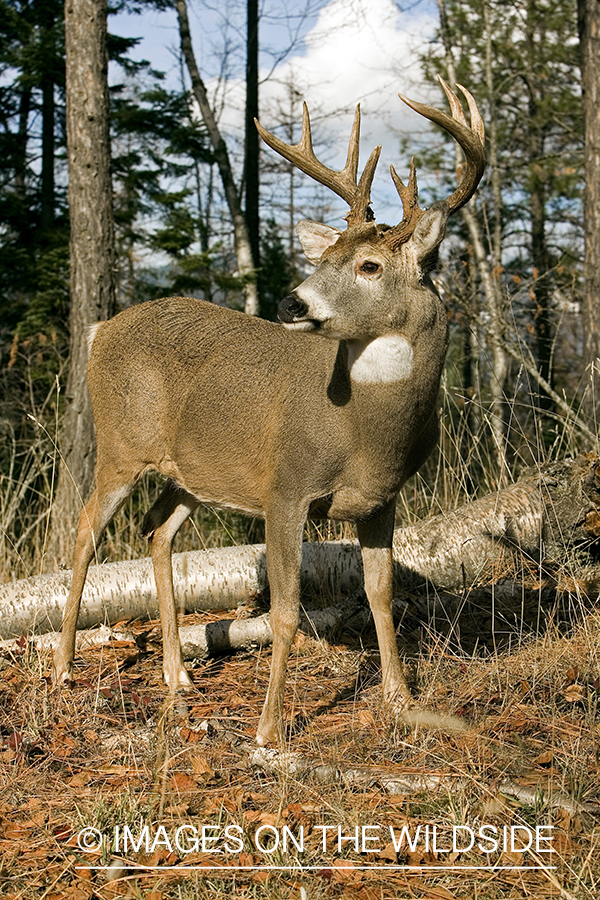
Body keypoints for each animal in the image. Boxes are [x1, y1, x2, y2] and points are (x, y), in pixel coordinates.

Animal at [54, 79, 486, 744]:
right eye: (323, 258)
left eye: (369, 265)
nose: (291, 301)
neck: (367, 432)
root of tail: (101, 330)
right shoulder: (286, 485)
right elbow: (284, 611)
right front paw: (267, 730)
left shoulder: (381, 499)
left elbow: (380, 594)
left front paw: (399, 698)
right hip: (121, 444)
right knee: (84, 530)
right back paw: (63, 669)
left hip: (192, 474)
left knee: (156, 530)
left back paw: (177, 677)